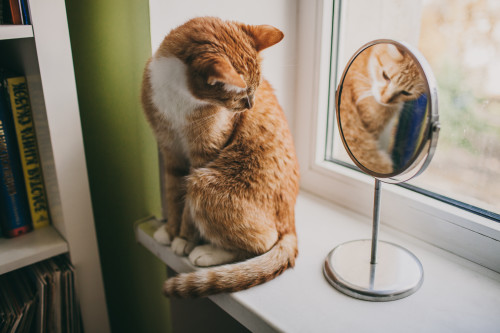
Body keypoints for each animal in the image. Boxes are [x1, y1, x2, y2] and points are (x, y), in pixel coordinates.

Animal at [139, 16, 298, 296]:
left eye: (256, 90)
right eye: (241, 95)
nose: (250, 105)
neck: (177, 99)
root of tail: (291, 221)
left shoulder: (202, 157)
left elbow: (187, 211)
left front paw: (183, 239)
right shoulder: (170, 152)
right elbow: (172, 195)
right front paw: (169, 231)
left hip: (204, 184)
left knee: (264, 242)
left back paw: (207, 252)